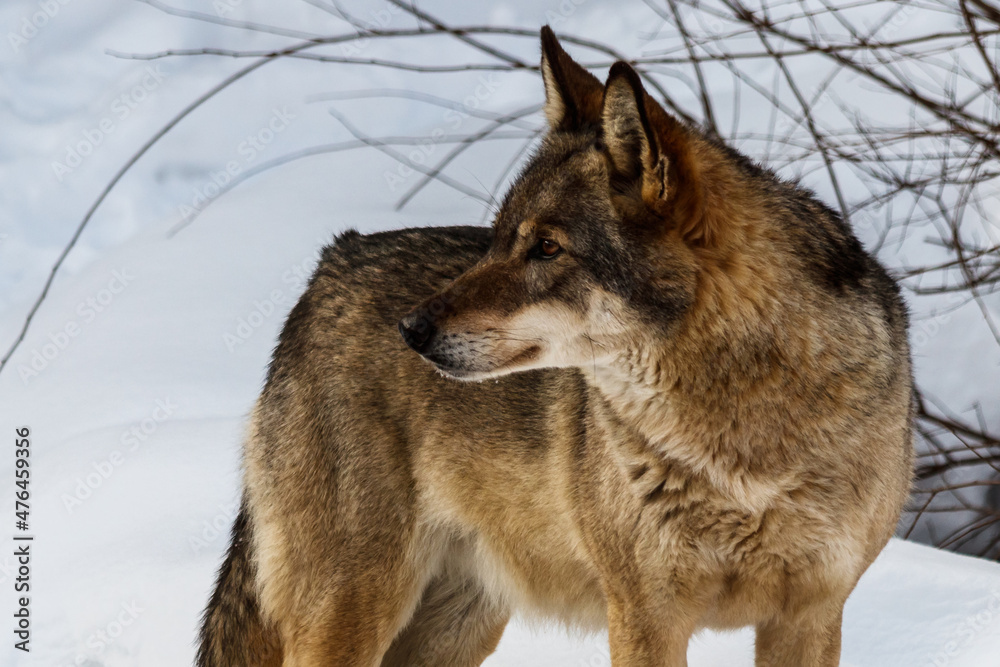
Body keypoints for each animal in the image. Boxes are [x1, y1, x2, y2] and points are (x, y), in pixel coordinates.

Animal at [198, 27, 913, 667]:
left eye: (546, 247)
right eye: (498, 238)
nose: (411, 330)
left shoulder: (812, 613)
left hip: (458, 625)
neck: (742, 443)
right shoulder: (644, 615)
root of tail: (326, 268)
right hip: (353, 609)